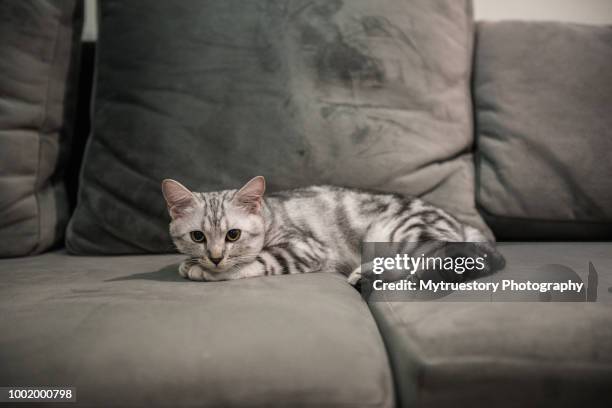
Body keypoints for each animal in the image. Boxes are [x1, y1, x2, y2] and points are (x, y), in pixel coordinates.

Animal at [160, 177, 504, 286]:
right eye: (198, 237)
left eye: (233, 235)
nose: (215, 257)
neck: (270, 215)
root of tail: (460, 222)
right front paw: (191, 263)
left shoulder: (305, 248)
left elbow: (259, 261)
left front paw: (206, 271)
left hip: (402, 230)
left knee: (445, 261)